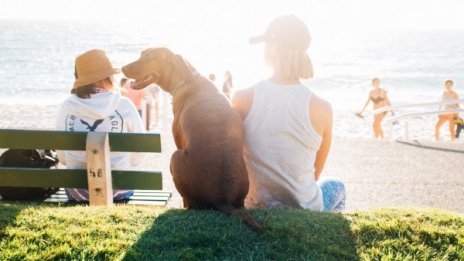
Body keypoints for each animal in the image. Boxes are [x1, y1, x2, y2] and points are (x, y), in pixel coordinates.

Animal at [122, 47, 260, 231]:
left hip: (175, 158)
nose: (122, 68)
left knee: (190, 202)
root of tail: (222, 198)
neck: (186, 79)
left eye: (149, 57)